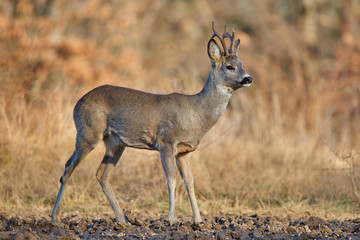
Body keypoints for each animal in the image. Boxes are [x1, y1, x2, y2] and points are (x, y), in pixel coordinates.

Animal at [50, 21, 252, 224]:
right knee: (67, 168)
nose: (248, 78)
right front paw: (172, 219)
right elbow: (171, 180)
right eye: (229, 67)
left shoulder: (184, 151)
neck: (196, 114)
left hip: (116, 143)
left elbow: (190, 182)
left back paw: (122, 218)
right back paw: (54, 216)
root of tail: (77, 103)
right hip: (89, 133)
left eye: (242, 64)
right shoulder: (166, 142)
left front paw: (198, 221)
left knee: (101, 174)